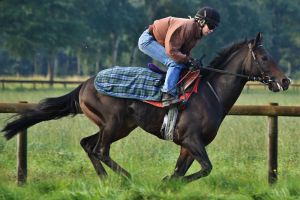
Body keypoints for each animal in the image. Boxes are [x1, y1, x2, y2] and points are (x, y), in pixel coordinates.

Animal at [1, 32, 290, 183]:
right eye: (265, 57)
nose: (285, 81)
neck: (212, 93)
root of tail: (84, 84)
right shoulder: (192, 139)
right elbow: (205, 168)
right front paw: (164, 182)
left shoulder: (187, 145)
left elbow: (182, 172)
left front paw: (168, 184)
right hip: (114, 123)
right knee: (100, 150)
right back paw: (127, 178)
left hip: (117, 126)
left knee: (88, 144)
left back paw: (106, 179)